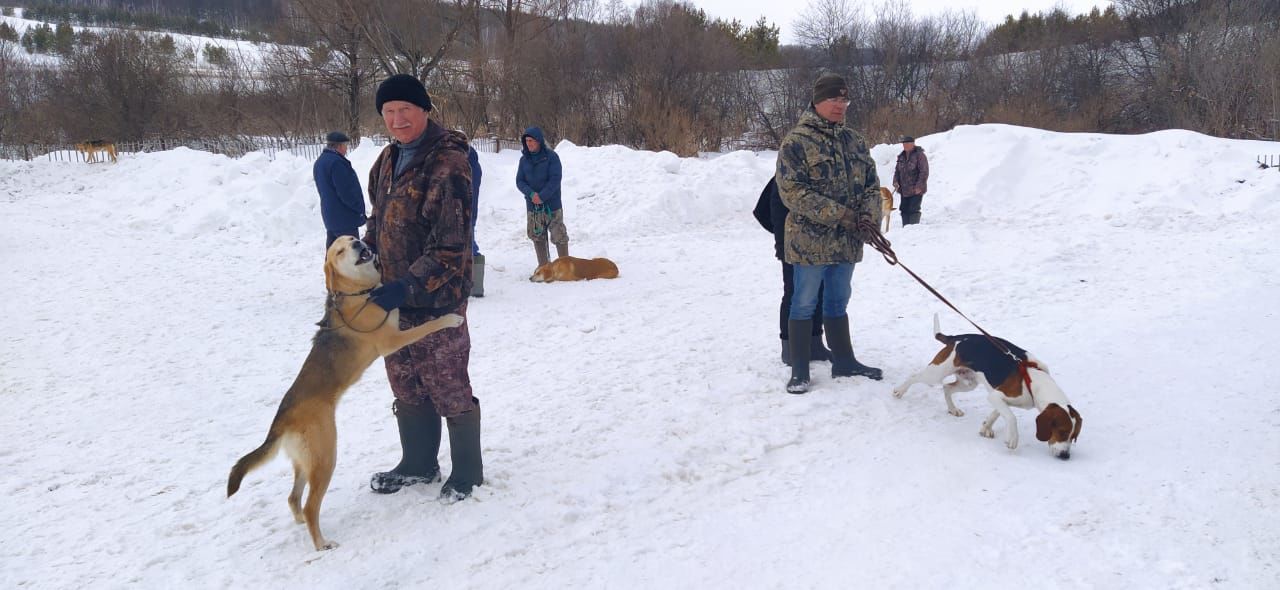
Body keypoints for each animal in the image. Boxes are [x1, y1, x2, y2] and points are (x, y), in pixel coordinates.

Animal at [229, 235, 465, 552]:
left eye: (352, 239)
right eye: (339, 250)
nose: (357, 243)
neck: (360, 293)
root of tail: (280, 423)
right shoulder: (392, 340)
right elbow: (427, 325)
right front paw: (450, 319)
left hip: (306, 461)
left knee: (293, 498)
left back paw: (302, 524)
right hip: (325, 456)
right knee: (310, 505)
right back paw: (321, 543)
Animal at [896, 314, 1085, 458]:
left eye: (1073, 436)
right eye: (1062, 432)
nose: (1065, 456)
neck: (1034, 381)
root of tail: (956, 338)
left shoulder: (998, 397)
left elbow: (996, 414)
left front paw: (986, 427)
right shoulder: (996, 396)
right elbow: (1011, 418)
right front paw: (1012, 439)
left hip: (969, 382)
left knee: (947, 388)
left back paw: (953, 409)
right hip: (936, 373)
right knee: (915, 377)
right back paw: (899, 391)